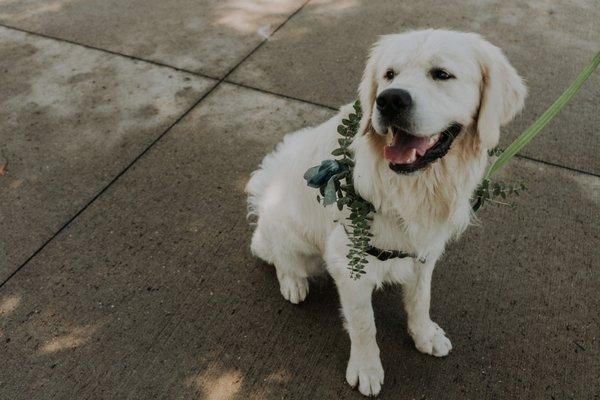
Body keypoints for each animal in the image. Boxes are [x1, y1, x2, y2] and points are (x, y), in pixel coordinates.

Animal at [244, 29, 524, 396]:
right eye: (389, 74)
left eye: (442, 74)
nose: (389, 101)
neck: (414, 186)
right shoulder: (347, 263)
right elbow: (364, 324)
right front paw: (366, 368)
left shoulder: (424, 251)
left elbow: (421, 299)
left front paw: (424, 334)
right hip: (289, 234)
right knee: (274, 254)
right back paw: (293, 282)